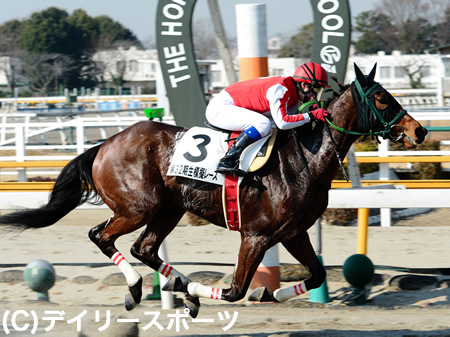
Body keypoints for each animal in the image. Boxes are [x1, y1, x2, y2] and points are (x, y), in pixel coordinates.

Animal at [0, 63, 428, 316]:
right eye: (381, 97)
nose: (419, 130)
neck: (304, 159)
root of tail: (103, 144)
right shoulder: (255, 235)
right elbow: (236, 290)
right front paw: (219, 293)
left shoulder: (293, 232)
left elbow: (319, 274)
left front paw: (269, 294)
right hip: (138, 207)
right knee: (101, 235)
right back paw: (141, 288)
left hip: (168, 209)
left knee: (144, 248)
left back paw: (177, 285)